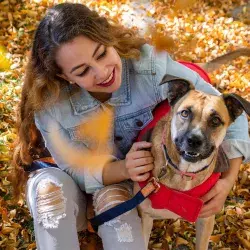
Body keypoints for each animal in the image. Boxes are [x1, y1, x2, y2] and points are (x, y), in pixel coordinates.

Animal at [135, 76, 250, 250]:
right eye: (185, 113)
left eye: (215, 120)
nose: (194, 140)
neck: (185, 172)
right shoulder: (144, 218)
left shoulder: (206, 220)